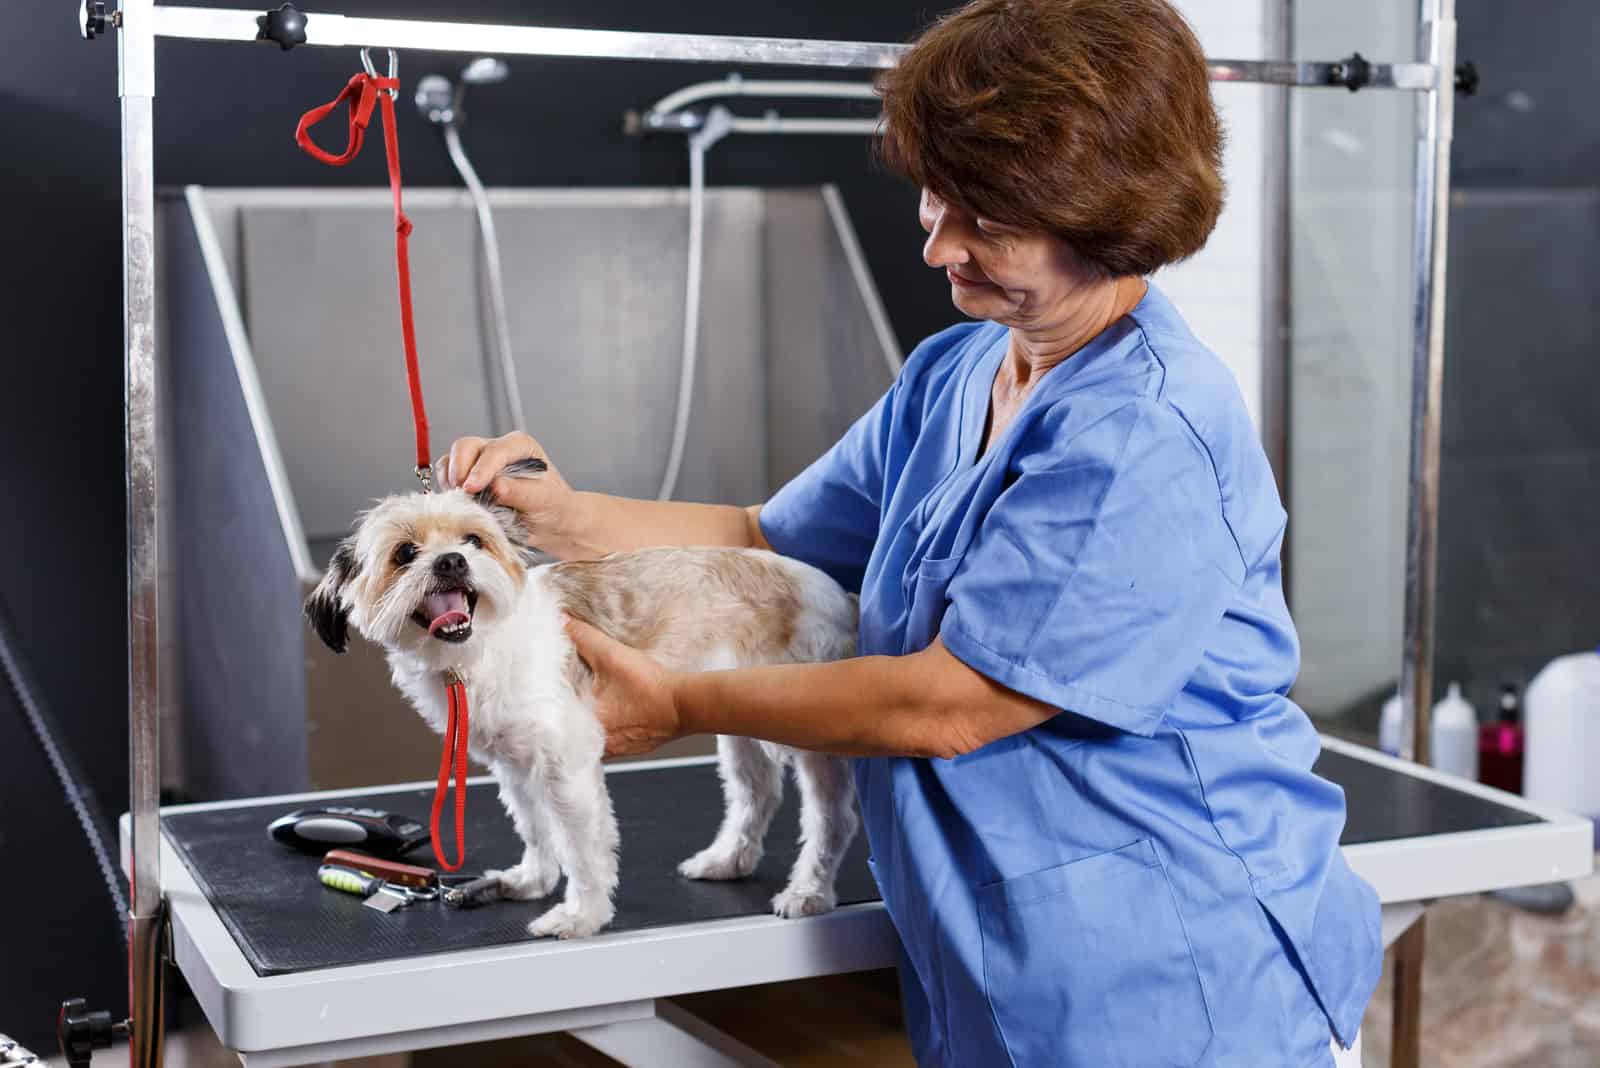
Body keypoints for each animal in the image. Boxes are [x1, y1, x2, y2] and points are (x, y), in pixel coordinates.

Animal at [310, 463, 864, 940]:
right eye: (405, 553)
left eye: (474, 540)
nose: (452, 560)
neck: (478, 652)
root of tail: (837, 593)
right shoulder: (515, 764)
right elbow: (535, 827)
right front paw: (530, 880)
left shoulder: (566, 763)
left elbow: (581, 847)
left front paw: (582, 915)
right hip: (737, 711)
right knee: (758, 793)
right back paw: (727, 860)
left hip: (809, 724)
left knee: (832, 818)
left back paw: (809, 890)